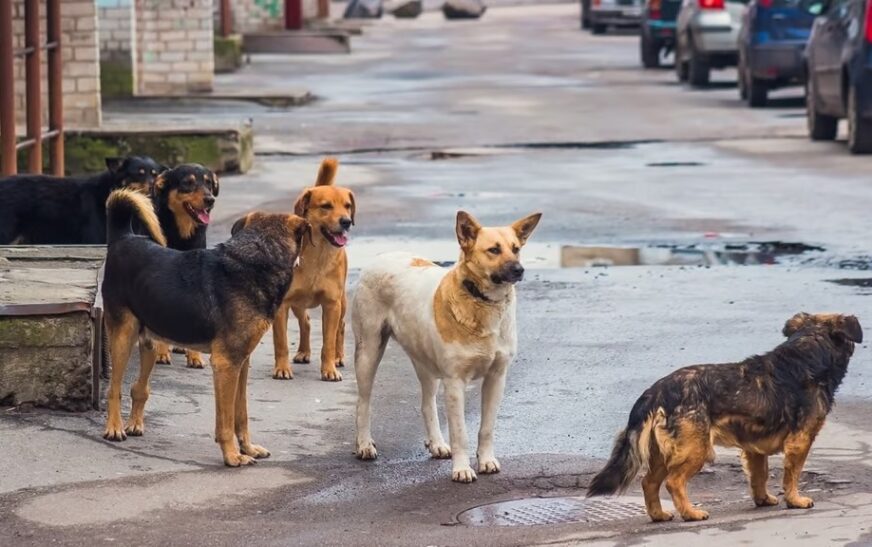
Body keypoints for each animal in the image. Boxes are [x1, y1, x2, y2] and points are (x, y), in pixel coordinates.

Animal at [101, 189, 310, 466]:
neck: (257, 258)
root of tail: (123, 238)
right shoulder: (226, 364)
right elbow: (226, 421)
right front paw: (232, 456)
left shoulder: (241, 363)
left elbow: (241, 414)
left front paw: (248, 448)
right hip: (123, 337)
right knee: (114, 388)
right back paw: (114, 428)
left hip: (150, 342)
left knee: (139, 387)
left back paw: (134, 424)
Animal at [148, 163, 220, 368]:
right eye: (188, 183)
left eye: (209, 183)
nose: (210, 200)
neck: (182, 234)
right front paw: (161, 353)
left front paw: (194, 356)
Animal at [350, 210, 540, 484]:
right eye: (493, 250)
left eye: (516, 249)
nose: (519, 270)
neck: (481, 302)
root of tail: (382, 256)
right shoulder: (455, 383)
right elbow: (460, 433)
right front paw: (462, 469)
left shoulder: (496, 378)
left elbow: (487, 428)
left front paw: (486, 460)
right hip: (368, 352)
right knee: (363, 403)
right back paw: (364, 444)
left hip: (425, 362)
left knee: (427, 403)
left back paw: (437, 443)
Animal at [588, 312, 860, 524]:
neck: (808, 352)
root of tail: (656, 391)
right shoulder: (800, 441)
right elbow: (792, 475)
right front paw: (795, 500)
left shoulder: (754, 448)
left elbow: (759, 476)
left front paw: (762, 499)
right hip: (696, 449)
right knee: (673, 482)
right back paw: (691, 513)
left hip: (663, 453)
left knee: (649, 483)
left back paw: (659, 515)